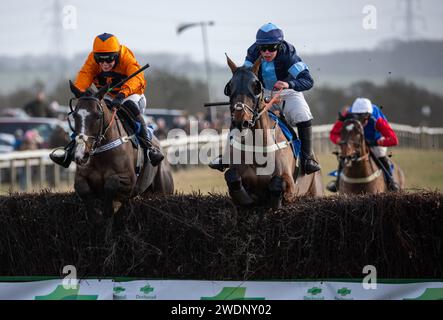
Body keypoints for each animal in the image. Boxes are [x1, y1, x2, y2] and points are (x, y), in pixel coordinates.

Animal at [68, 84, 174, 221]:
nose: (81, 154)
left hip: (164, 189)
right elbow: (82, 188)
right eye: (75, 116)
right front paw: (96, 216)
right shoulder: (81, 177)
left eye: (98, 116)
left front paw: (108, 211)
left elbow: (111, 183)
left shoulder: (129, 180)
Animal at [222, 57, 322, 208]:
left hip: (314, 190)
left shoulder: (291, 186)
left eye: (256, 86)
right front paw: (248, 199)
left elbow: (277, 183)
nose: (241, 121)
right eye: (229, 87)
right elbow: (232, 177)